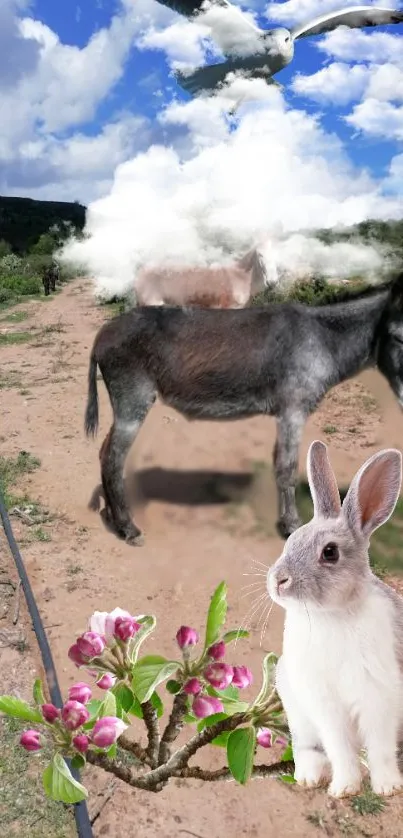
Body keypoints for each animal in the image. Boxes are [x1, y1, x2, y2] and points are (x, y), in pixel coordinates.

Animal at [270, 440, 403, 800]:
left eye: (330, 552)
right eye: (290, 541)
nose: (278, 580)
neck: (332, 615)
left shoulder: (380, 698)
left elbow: (381, 748)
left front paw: (388, 787)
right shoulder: (325, 705)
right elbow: (339, 747)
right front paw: (344, 788)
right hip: (296, 711)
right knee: (307, 748)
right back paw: (308, 778)